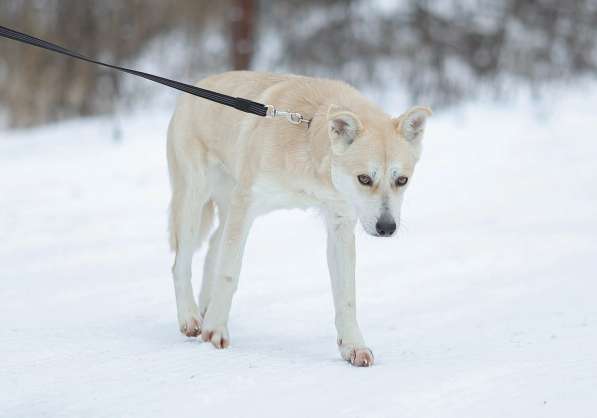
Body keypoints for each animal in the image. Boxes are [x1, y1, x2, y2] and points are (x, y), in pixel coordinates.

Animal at [165, 71, 430, 366]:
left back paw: (206, 308)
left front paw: (353, 345)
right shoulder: (246, 205)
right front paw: (215, 330)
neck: (309, 141)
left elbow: (347, 296)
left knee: (213, 248)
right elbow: (229, 273)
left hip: (226, 206)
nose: (386, 227)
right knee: (181, 263)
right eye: (364, 178)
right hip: (195, 199)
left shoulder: (339, 224)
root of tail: (198, 85)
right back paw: (191, 317)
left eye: (402, 180)